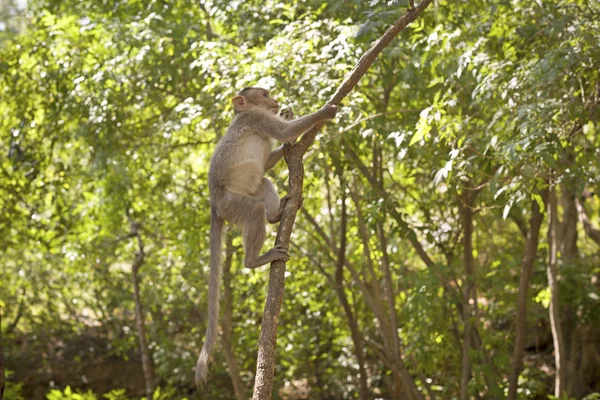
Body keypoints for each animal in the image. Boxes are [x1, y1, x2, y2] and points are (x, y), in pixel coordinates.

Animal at [197, 86, 338, 384]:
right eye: (263, 94)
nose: (274, 101)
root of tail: (214, 204)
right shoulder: (256, 119)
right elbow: (282, 131)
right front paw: (325, 111)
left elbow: (272, 156)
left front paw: (288, 147)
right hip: (232, 204)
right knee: (252, 211)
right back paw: (255, 259)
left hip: (241, 196)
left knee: (262, 180)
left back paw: (276, 214)